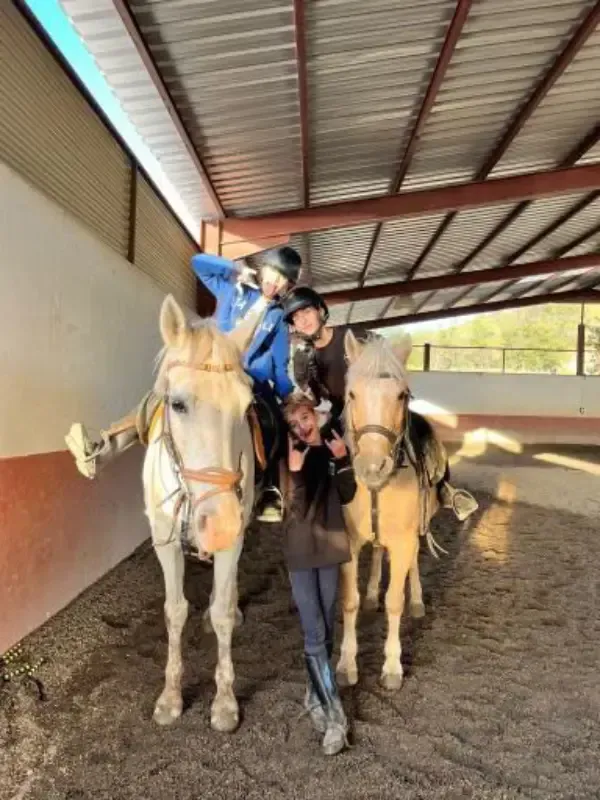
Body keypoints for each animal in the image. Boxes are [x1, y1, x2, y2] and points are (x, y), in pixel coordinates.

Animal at [143, 294, 256, 732]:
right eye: (177, 404)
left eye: (248, 407)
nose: (220, 525)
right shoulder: (165, 541)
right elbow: (175, 612)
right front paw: (171, 697)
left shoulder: (234, 537)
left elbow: (221, 613)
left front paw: (224, 702)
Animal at [337, 329, 441, 691]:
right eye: (352, 393)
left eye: (401, 395)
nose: (372, 467)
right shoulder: (349, 543)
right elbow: (349, 601)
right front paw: (346, 664)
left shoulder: (404, 539)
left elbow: (395, 601)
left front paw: (393, 667)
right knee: (379, 553)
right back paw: (372, 594)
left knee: (411, 564)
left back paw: (418, 600)